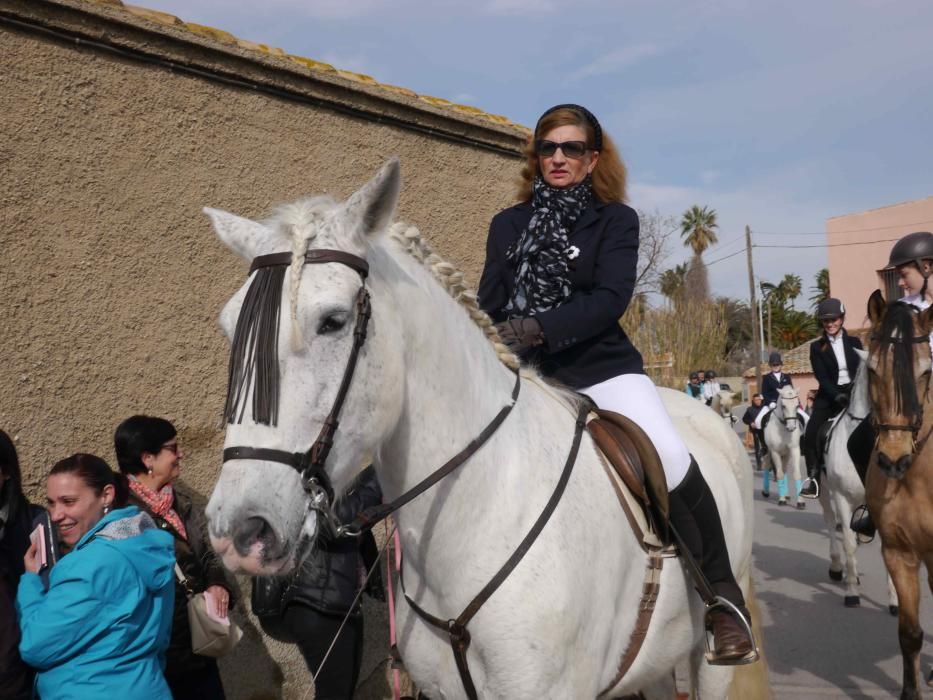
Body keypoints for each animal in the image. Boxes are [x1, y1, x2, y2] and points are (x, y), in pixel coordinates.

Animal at [824, 350, 896, 612]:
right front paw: (852, 593)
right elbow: (848, 543)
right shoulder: (842, 499)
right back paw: (838, 569)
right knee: (832, 526)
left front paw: (894, 600)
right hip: (826, 494)